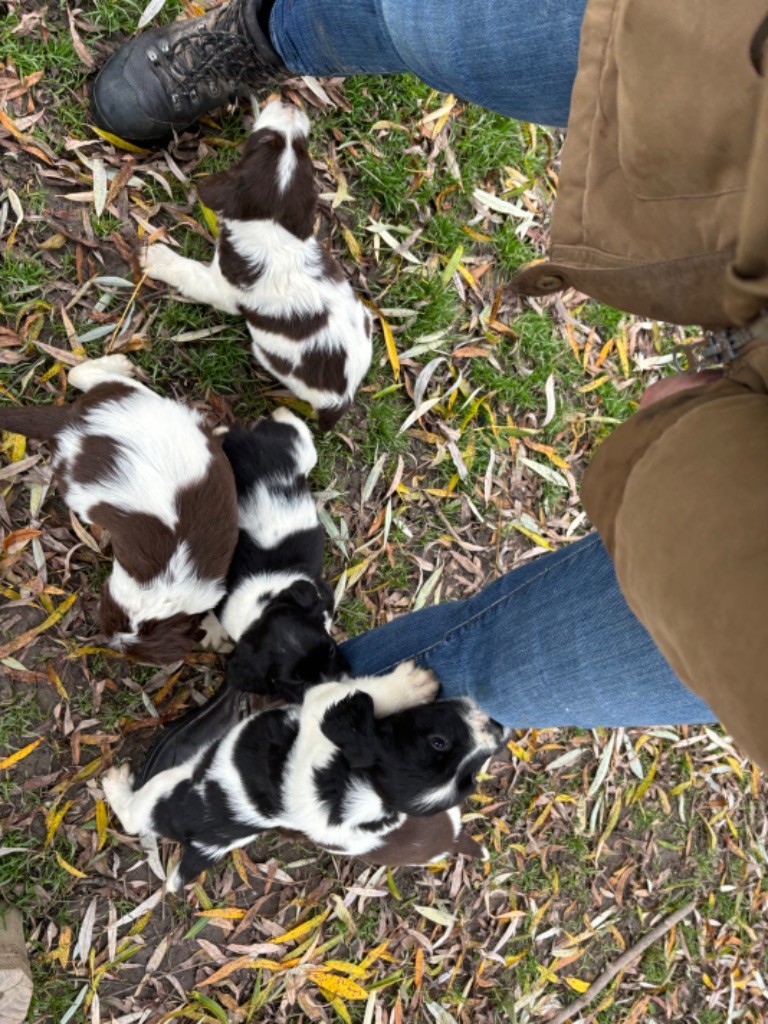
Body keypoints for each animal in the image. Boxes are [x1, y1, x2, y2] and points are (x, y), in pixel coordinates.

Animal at [0, 356, 239, 663]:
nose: (107, 644)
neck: (164, 585)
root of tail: (67, 424)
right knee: (82, 374)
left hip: (129, 401)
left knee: (84, 375)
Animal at [103, 663, 512, 888]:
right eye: (440, 742)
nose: (499, 729)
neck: (369, 788)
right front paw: (413, 685)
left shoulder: (325, 703)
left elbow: (368, 695)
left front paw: (410, 684)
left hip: (162, 789)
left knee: (133, 816)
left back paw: (115, 783)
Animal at [143, 97, 376, 430]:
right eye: (301, 148)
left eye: (266, 140)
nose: (290, 105)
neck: (273, 226)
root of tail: (344, 398)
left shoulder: (222, 287)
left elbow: (190, 272)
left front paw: (157, 257)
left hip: (270, 353)